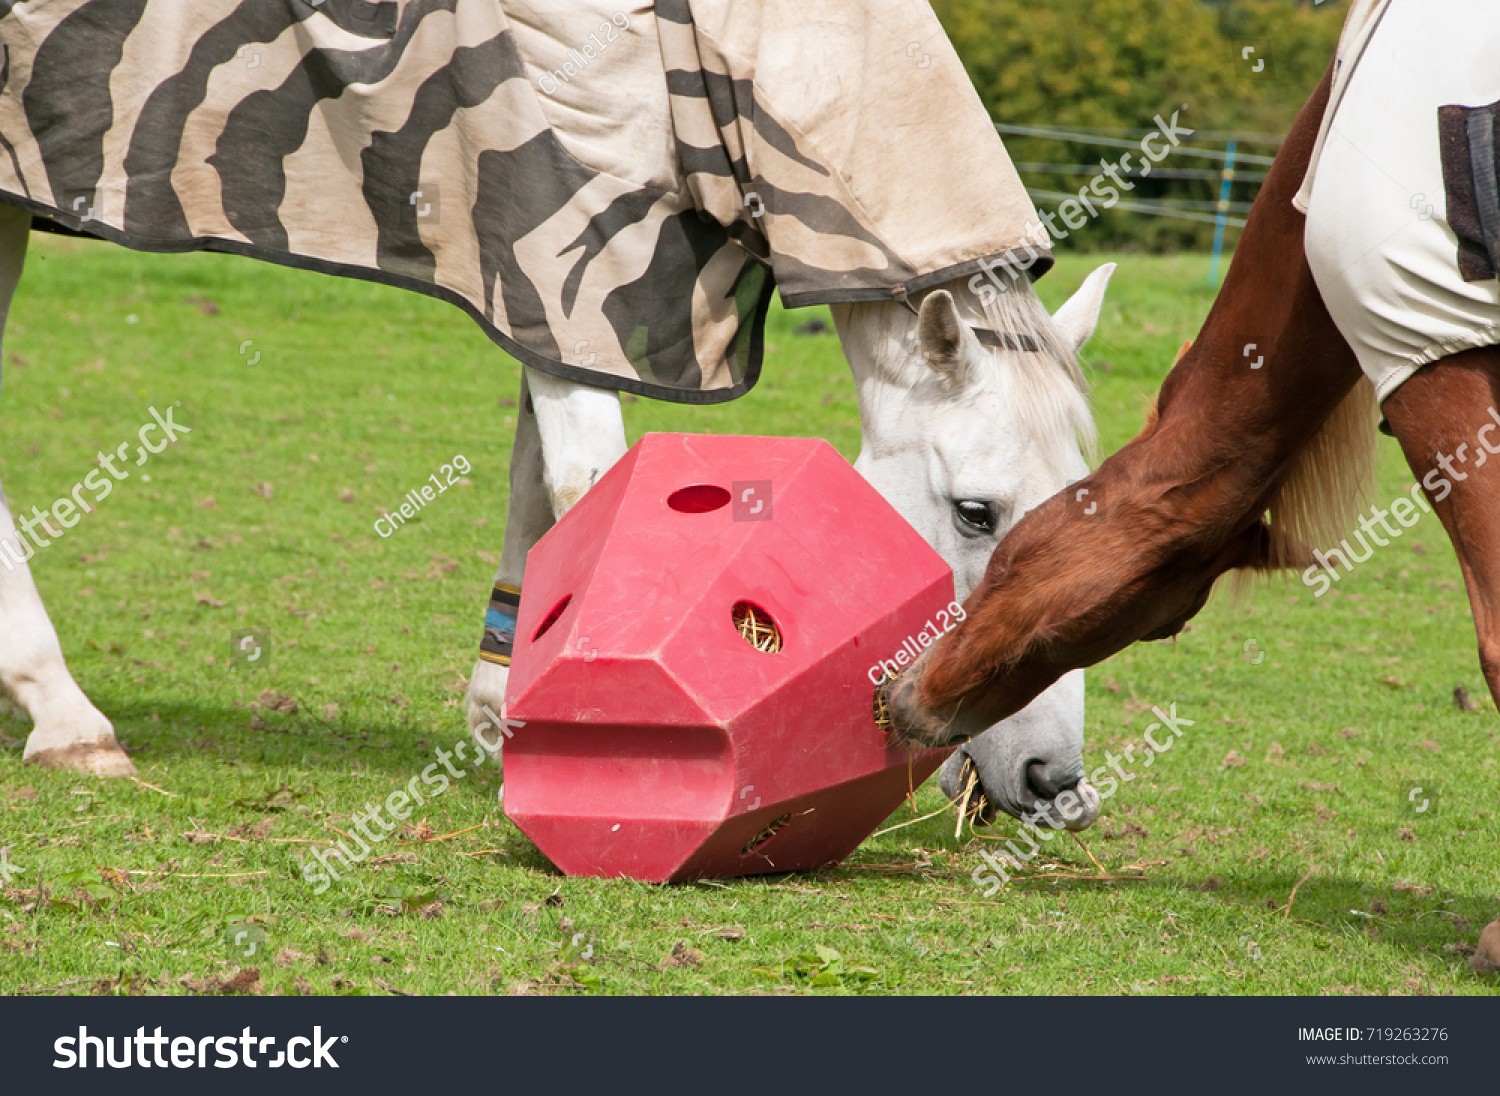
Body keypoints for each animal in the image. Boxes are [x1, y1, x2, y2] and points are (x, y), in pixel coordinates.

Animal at [0, 193, 1116, 827]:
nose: (1055, 779)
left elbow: (536, 476)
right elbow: (592, 475)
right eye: (974, 512)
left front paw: (507, 707)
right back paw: (67, 717)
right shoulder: (555, 261)